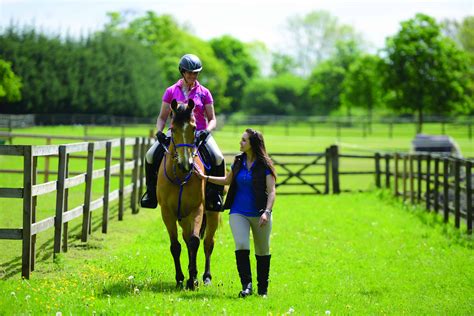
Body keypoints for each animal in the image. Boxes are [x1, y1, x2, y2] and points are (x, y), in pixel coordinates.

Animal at [157, 98, 220, 288]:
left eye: (193, 128)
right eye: (172, 129)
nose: (186, 164)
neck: (180, 175)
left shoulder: (197, 208)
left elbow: (194, 242)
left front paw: (192, 279)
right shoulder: (167, 212)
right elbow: (176, 245)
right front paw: (180, 278)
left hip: (211, 213)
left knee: (208, 243)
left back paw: (206, 277)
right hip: (183, 217)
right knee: (185, 238)